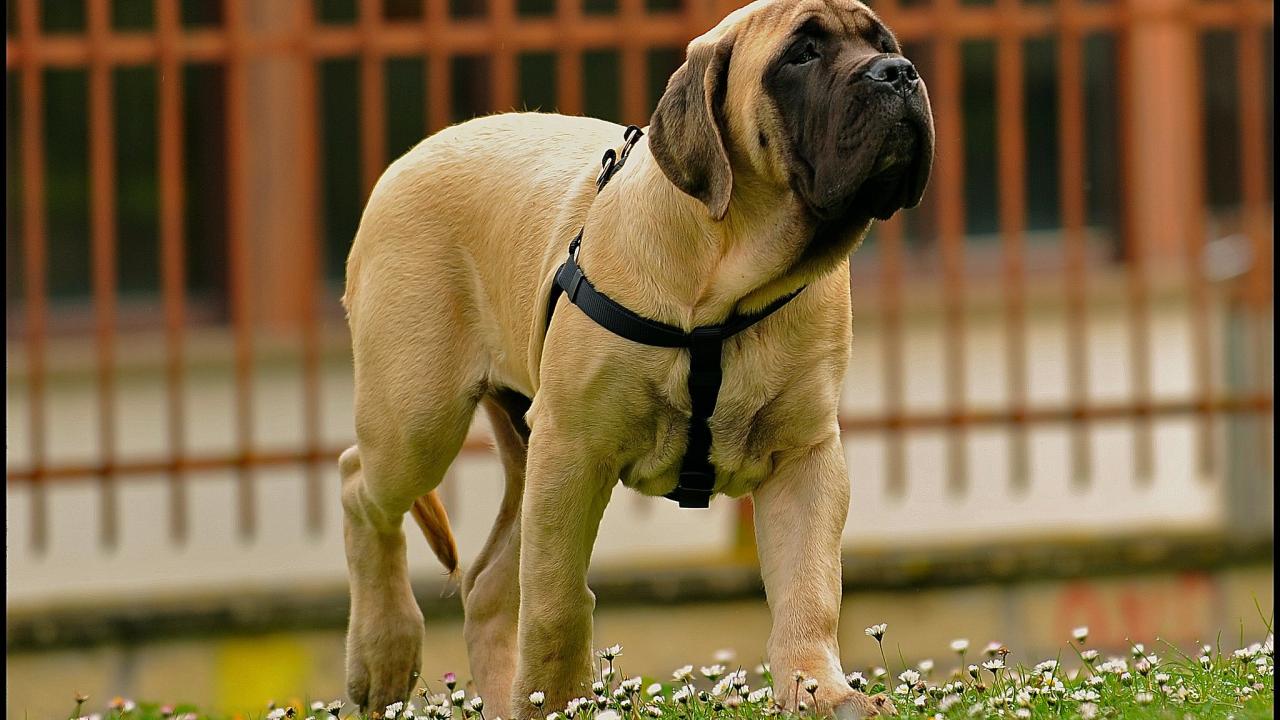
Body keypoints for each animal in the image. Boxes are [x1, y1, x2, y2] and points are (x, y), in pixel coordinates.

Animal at [340, 0, 936, 712]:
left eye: (882, 41)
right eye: (801, 54)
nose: (898, 71)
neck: (727, 281)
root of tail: (411, 156)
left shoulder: (806, 454)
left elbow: (809, 587)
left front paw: (819, 691)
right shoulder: (573, 449)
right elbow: (557, 599)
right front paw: (557, 701)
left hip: (514, 442)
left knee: (486, 584)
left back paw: (506, 700)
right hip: (419, 419)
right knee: (360, 486)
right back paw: (386, 652)